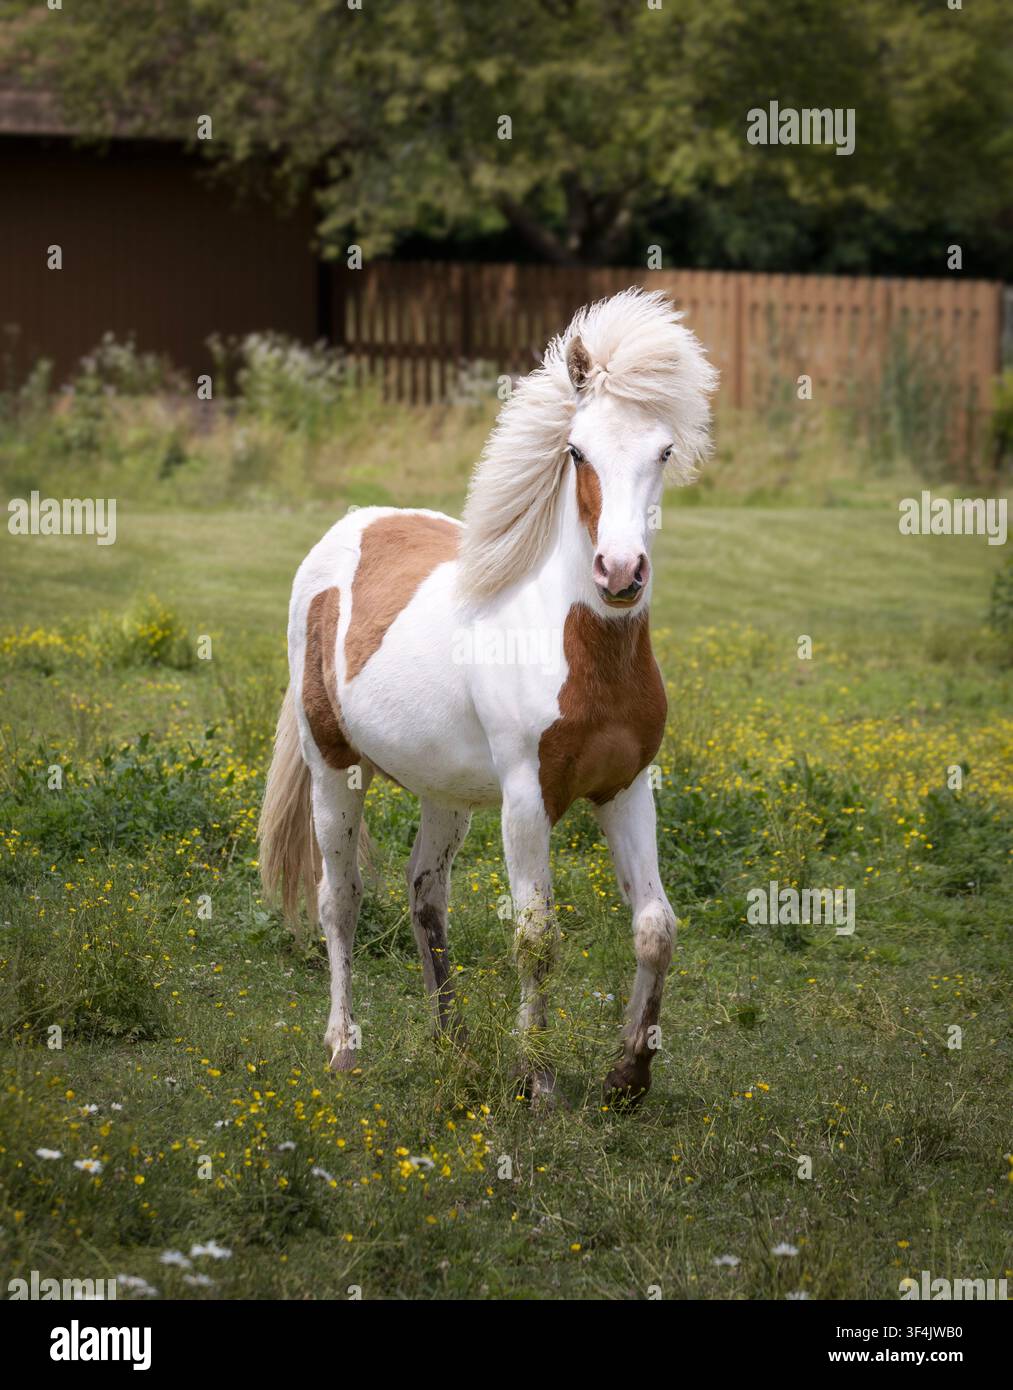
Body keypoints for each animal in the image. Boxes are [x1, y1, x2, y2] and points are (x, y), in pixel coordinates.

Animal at [258, 288, 718, 1104]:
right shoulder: (526, 798)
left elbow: (655, 926)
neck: (577, 650)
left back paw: (457, 1047)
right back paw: (343, 1048)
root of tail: (346, 530)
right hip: (331, 768)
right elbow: (535, 938)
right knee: (339, 900)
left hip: (444, 792)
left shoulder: (626, 788)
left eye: (663, 452)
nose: (619, 573)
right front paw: (537, 1080)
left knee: (424, 895)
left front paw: (628, 1075)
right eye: (578, 451)